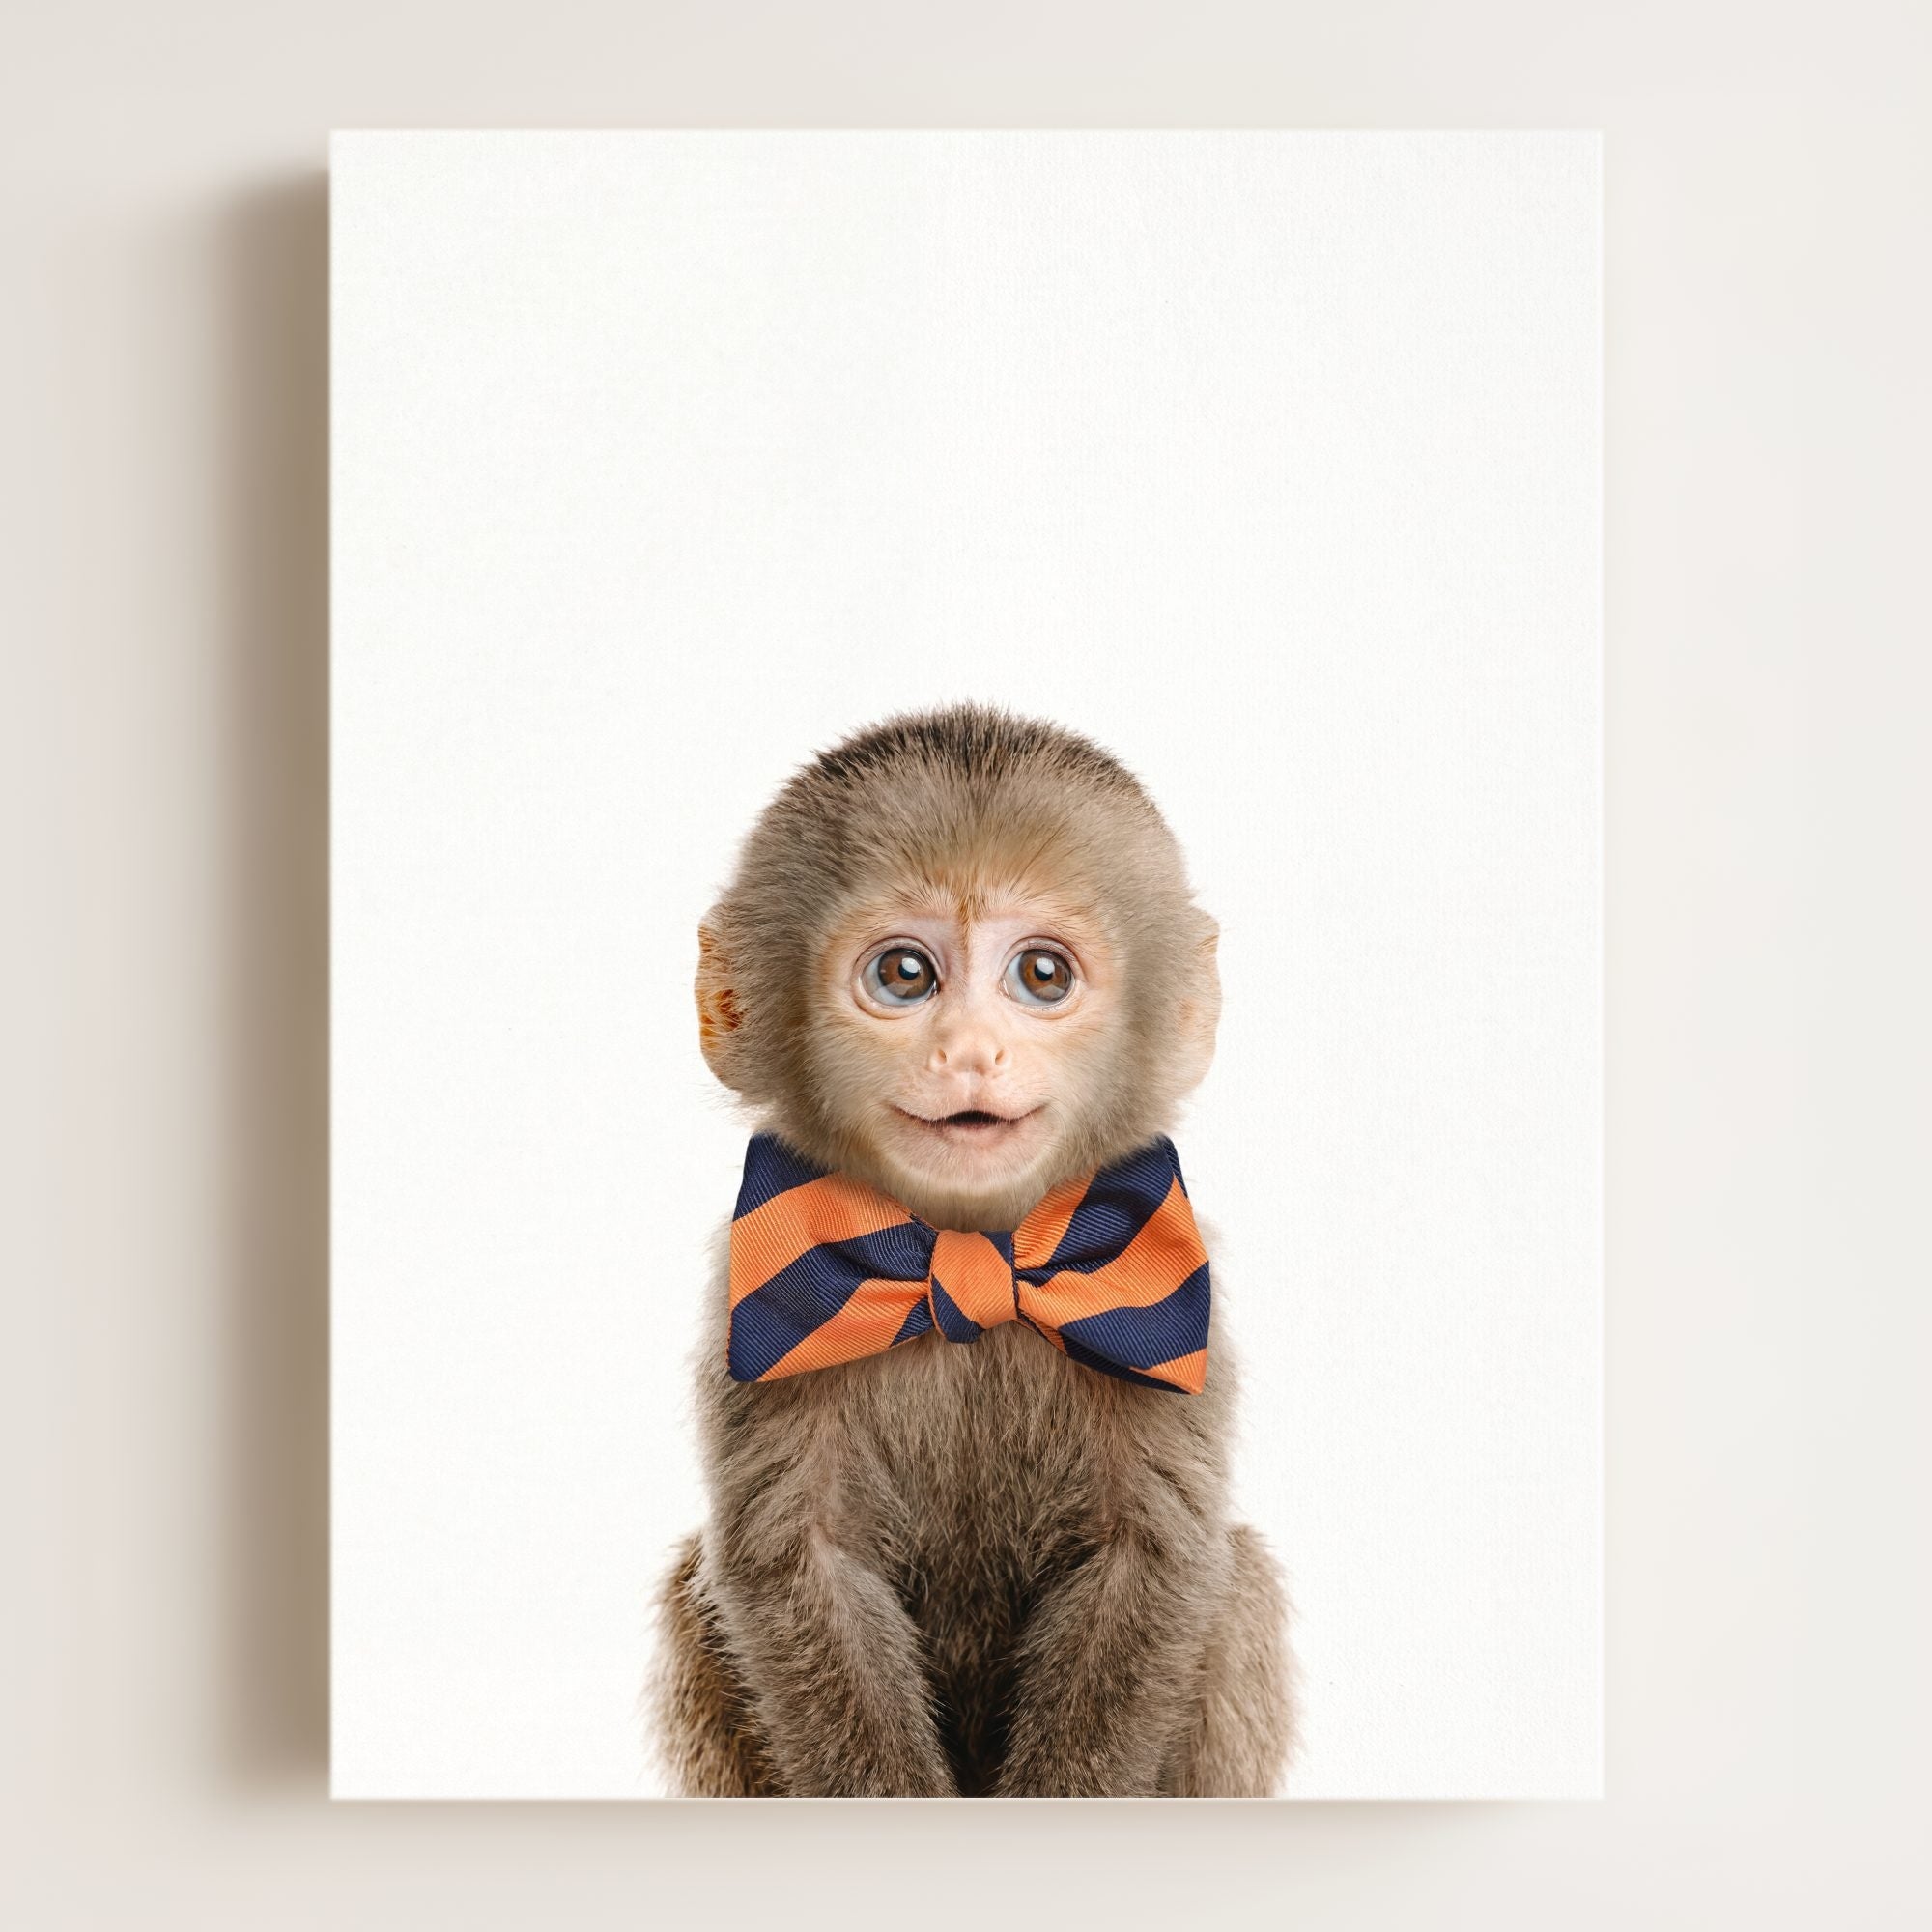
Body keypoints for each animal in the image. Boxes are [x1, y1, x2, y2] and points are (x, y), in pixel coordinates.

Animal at [650, 704, 1295, 1797]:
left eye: (1041, 974)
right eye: (904, 974)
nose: (968, 1053)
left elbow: (1151, 1560)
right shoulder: (755, 1299)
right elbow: (799, 1564)